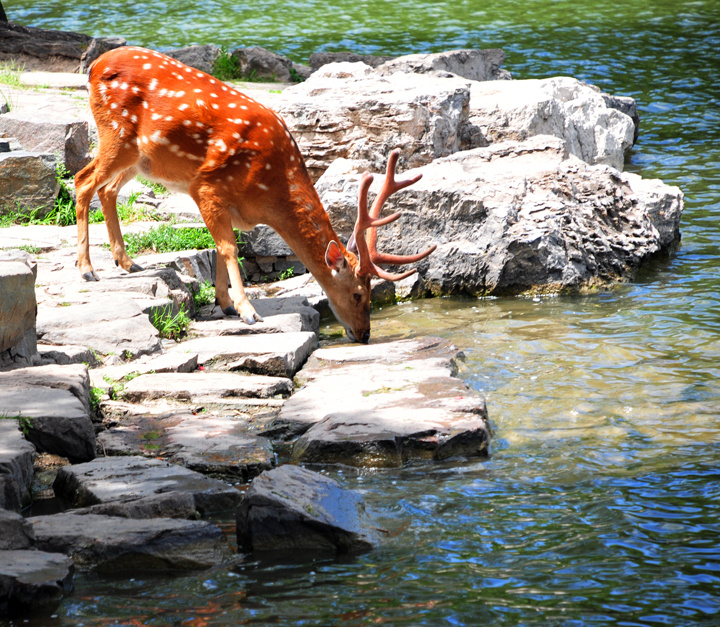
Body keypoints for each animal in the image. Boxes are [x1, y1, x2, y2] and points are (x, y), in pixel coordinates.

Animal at [74, 46, 434, 344]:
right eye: (359, 294)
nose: (364, 334)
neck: (268, 193)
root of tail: (94, 66)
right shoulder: (206, 186)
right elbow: (229, 248)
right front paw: (247, 311)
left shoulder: (223, 202)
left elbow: (219, 247)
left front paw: (225, 303)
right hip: (117, 135)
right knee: (83, 180)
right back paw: (87, 269)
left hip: (140, 159)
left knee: (107, 189)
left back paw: (126, 262)